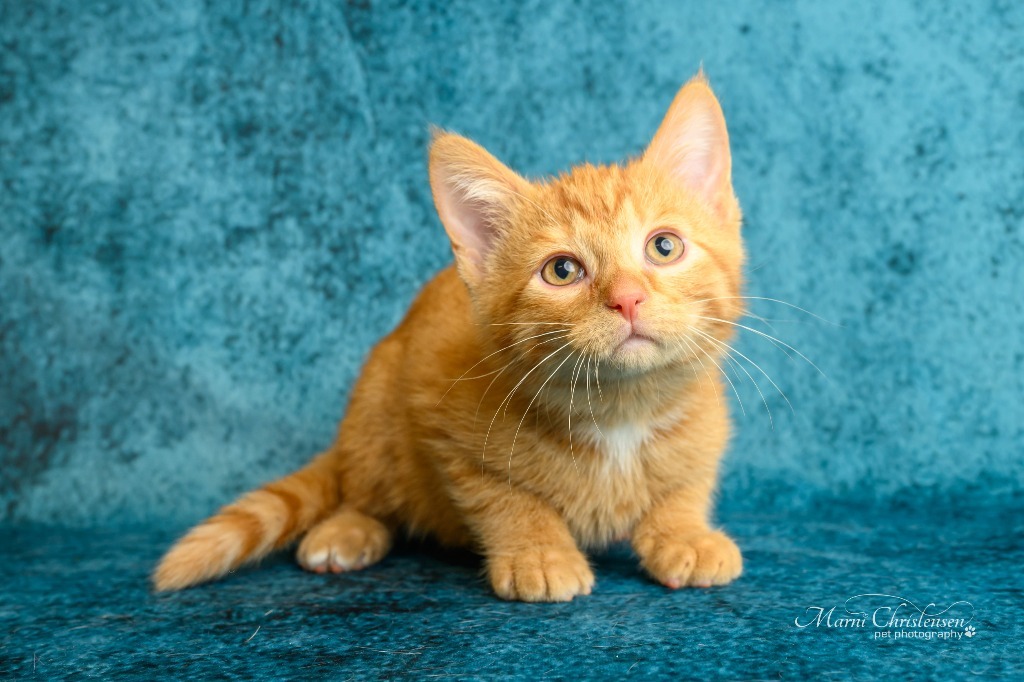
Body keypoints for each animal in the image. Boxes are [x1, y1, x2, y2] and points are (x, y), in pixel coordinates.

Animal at [151, 71, 745, 598]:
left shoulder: (705, 425)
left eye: (664, 246)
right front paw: (538, 552)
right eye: (561, 271)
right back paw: (349, 528)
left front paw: (684, 533)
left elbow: (686, 481)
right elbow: (503, 496)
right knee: (365, 488)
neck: (620, 410)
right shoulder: (442, 419)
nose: (627, 298)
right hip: (375, 405)